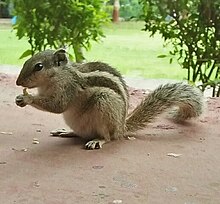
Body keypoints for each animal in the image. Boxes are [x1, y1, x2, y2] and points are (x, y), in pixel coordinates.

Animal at [15, 48, 205, 149]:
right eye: (25, 62)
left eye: (39, 67)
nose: (18, 82)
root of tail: (121, 128)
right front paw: (20, 97)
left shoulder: (68, 88)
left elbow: (57, 105)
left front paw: (27, 98)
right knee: (80, 134)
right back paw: (66, 132)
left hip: (104, 104)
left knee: (108, 138)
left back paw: (97, 140)